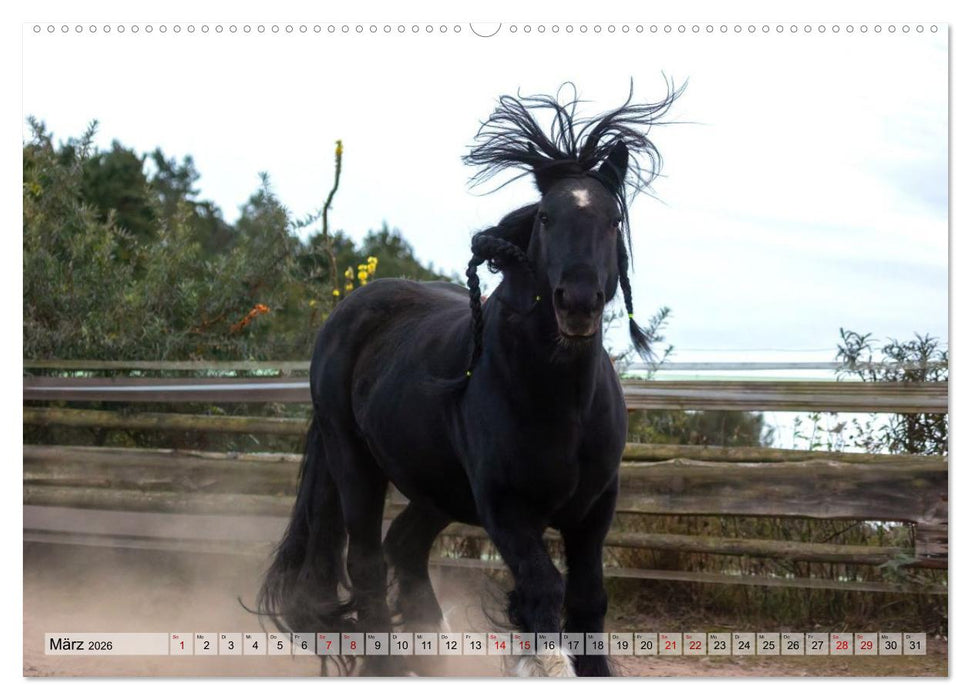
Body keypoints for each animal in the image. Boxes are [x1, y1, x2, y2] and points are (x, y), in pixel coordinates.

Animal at [256, 83, 680, 676]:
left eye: (613, 219)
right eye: (545, 218)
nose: (577, 303)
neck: (562, 403)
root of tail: (348, 315)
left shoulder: (595, 508)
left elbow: (588, 599)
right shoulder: (505, 508)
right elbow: (543, 591)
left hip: (435, 487)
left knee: (404, 547)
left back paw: (429, 652)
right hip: (354, 461)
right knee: (365, 561)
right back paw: (388, 667)